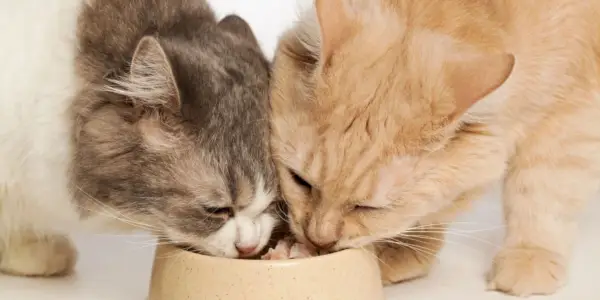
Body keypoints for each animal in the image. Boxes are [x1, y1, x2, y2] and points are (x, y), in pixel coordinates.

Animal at [270, 0, 600, 296]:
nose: (318, 240)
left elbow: (541, 189)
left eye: (371, 208)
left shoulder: (572, 108)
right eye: (300, 181)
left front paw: (530, 254)